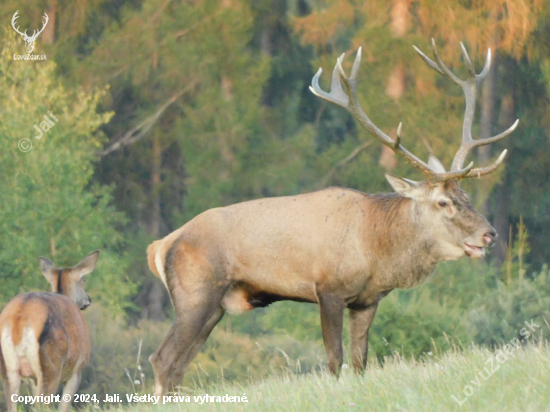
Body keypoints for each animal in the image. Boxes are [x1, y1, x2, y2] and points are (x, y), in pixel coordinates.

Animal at [0, 251, 99, 412]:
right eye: (83, 279)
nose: (88, 300)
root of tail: (19, 319)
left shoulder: (33, 380)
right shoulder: (77, 370)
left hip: (8, 369)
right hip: (51, 366)